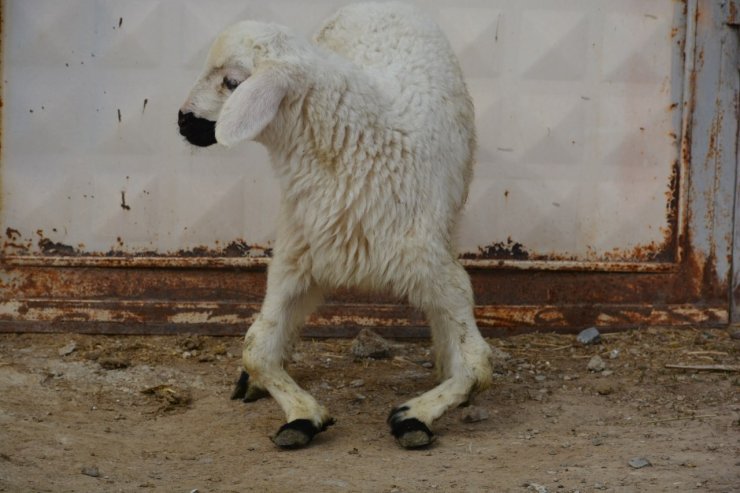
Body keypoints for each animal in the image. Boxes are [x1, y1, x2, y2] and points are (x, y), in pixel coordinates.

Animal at [176, 0, 494, 450]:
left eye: (232, 82)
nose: (182, 121)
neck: (353, 142)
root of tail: (380, 3)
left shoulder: (433, 265)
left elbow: (477, 366)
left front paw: (416, 414)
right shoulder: (296, 259)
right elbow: (256, 350)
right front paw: (301, 415)